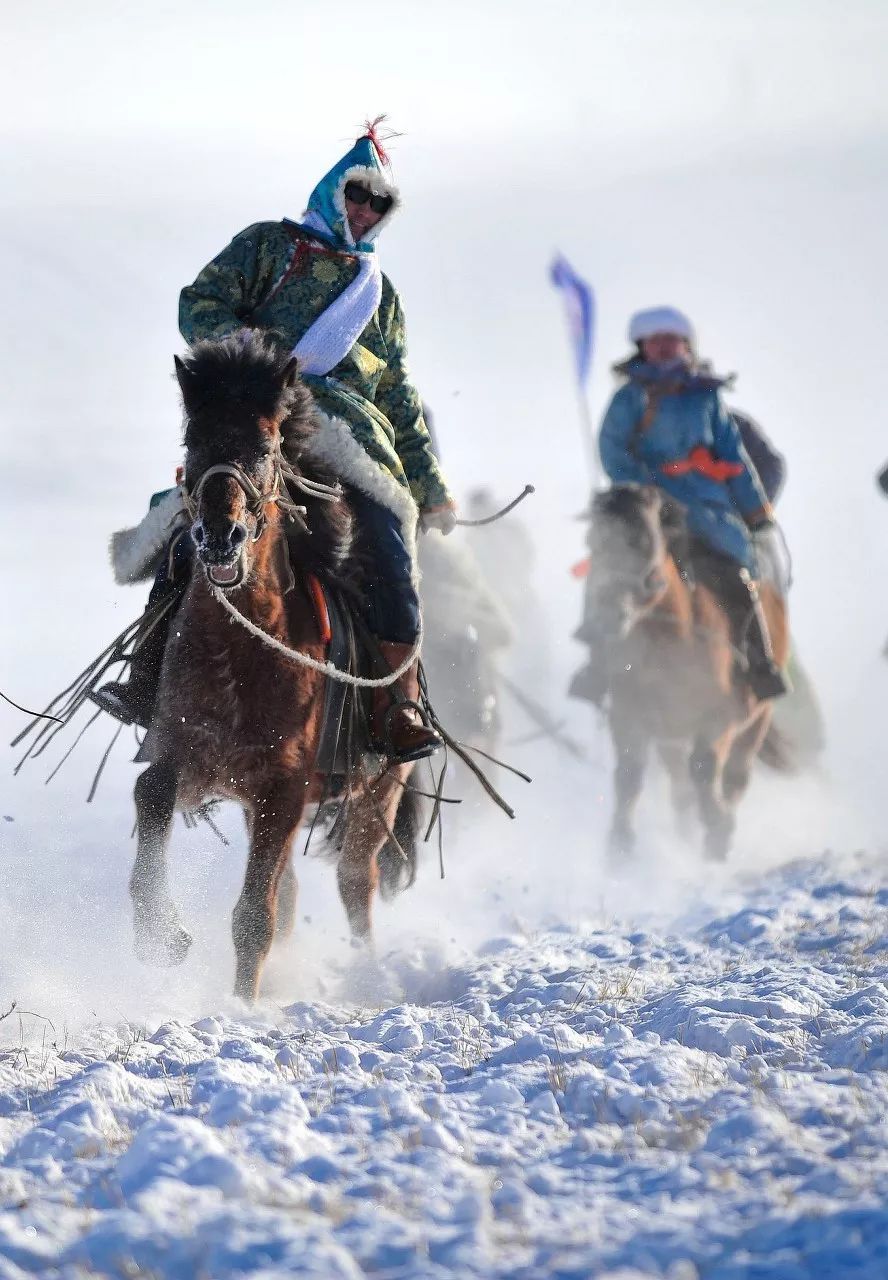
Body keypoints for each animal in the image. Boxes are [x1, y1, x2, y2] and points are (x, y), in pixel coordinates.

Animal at [131, 337, 419, 998]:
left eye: (265, 447)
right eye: (193, 443)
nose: (221, 535)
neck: (240, 655)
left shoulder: (283, 788)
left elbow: (253, 916)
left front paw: (242, 1006)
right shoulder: (189, 757)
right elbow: (149, 793)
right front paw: (159, 933)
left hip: (379, 789)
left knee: (356, 880)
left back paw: (366, 971)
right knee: (291, 891)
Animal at [588, 483, 788, 865]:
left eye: (646, 541)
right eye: (592, 541)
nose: (609, 613)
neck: (672, 643)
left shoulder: (719, 718)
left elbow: (704, 768)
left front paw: (718, 830)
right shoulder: (629, 714)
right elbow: (629, 773)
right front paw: (619, 847)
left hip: (758, 718)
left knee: (735, 775)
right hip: (671, 735)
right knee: (679, 782)